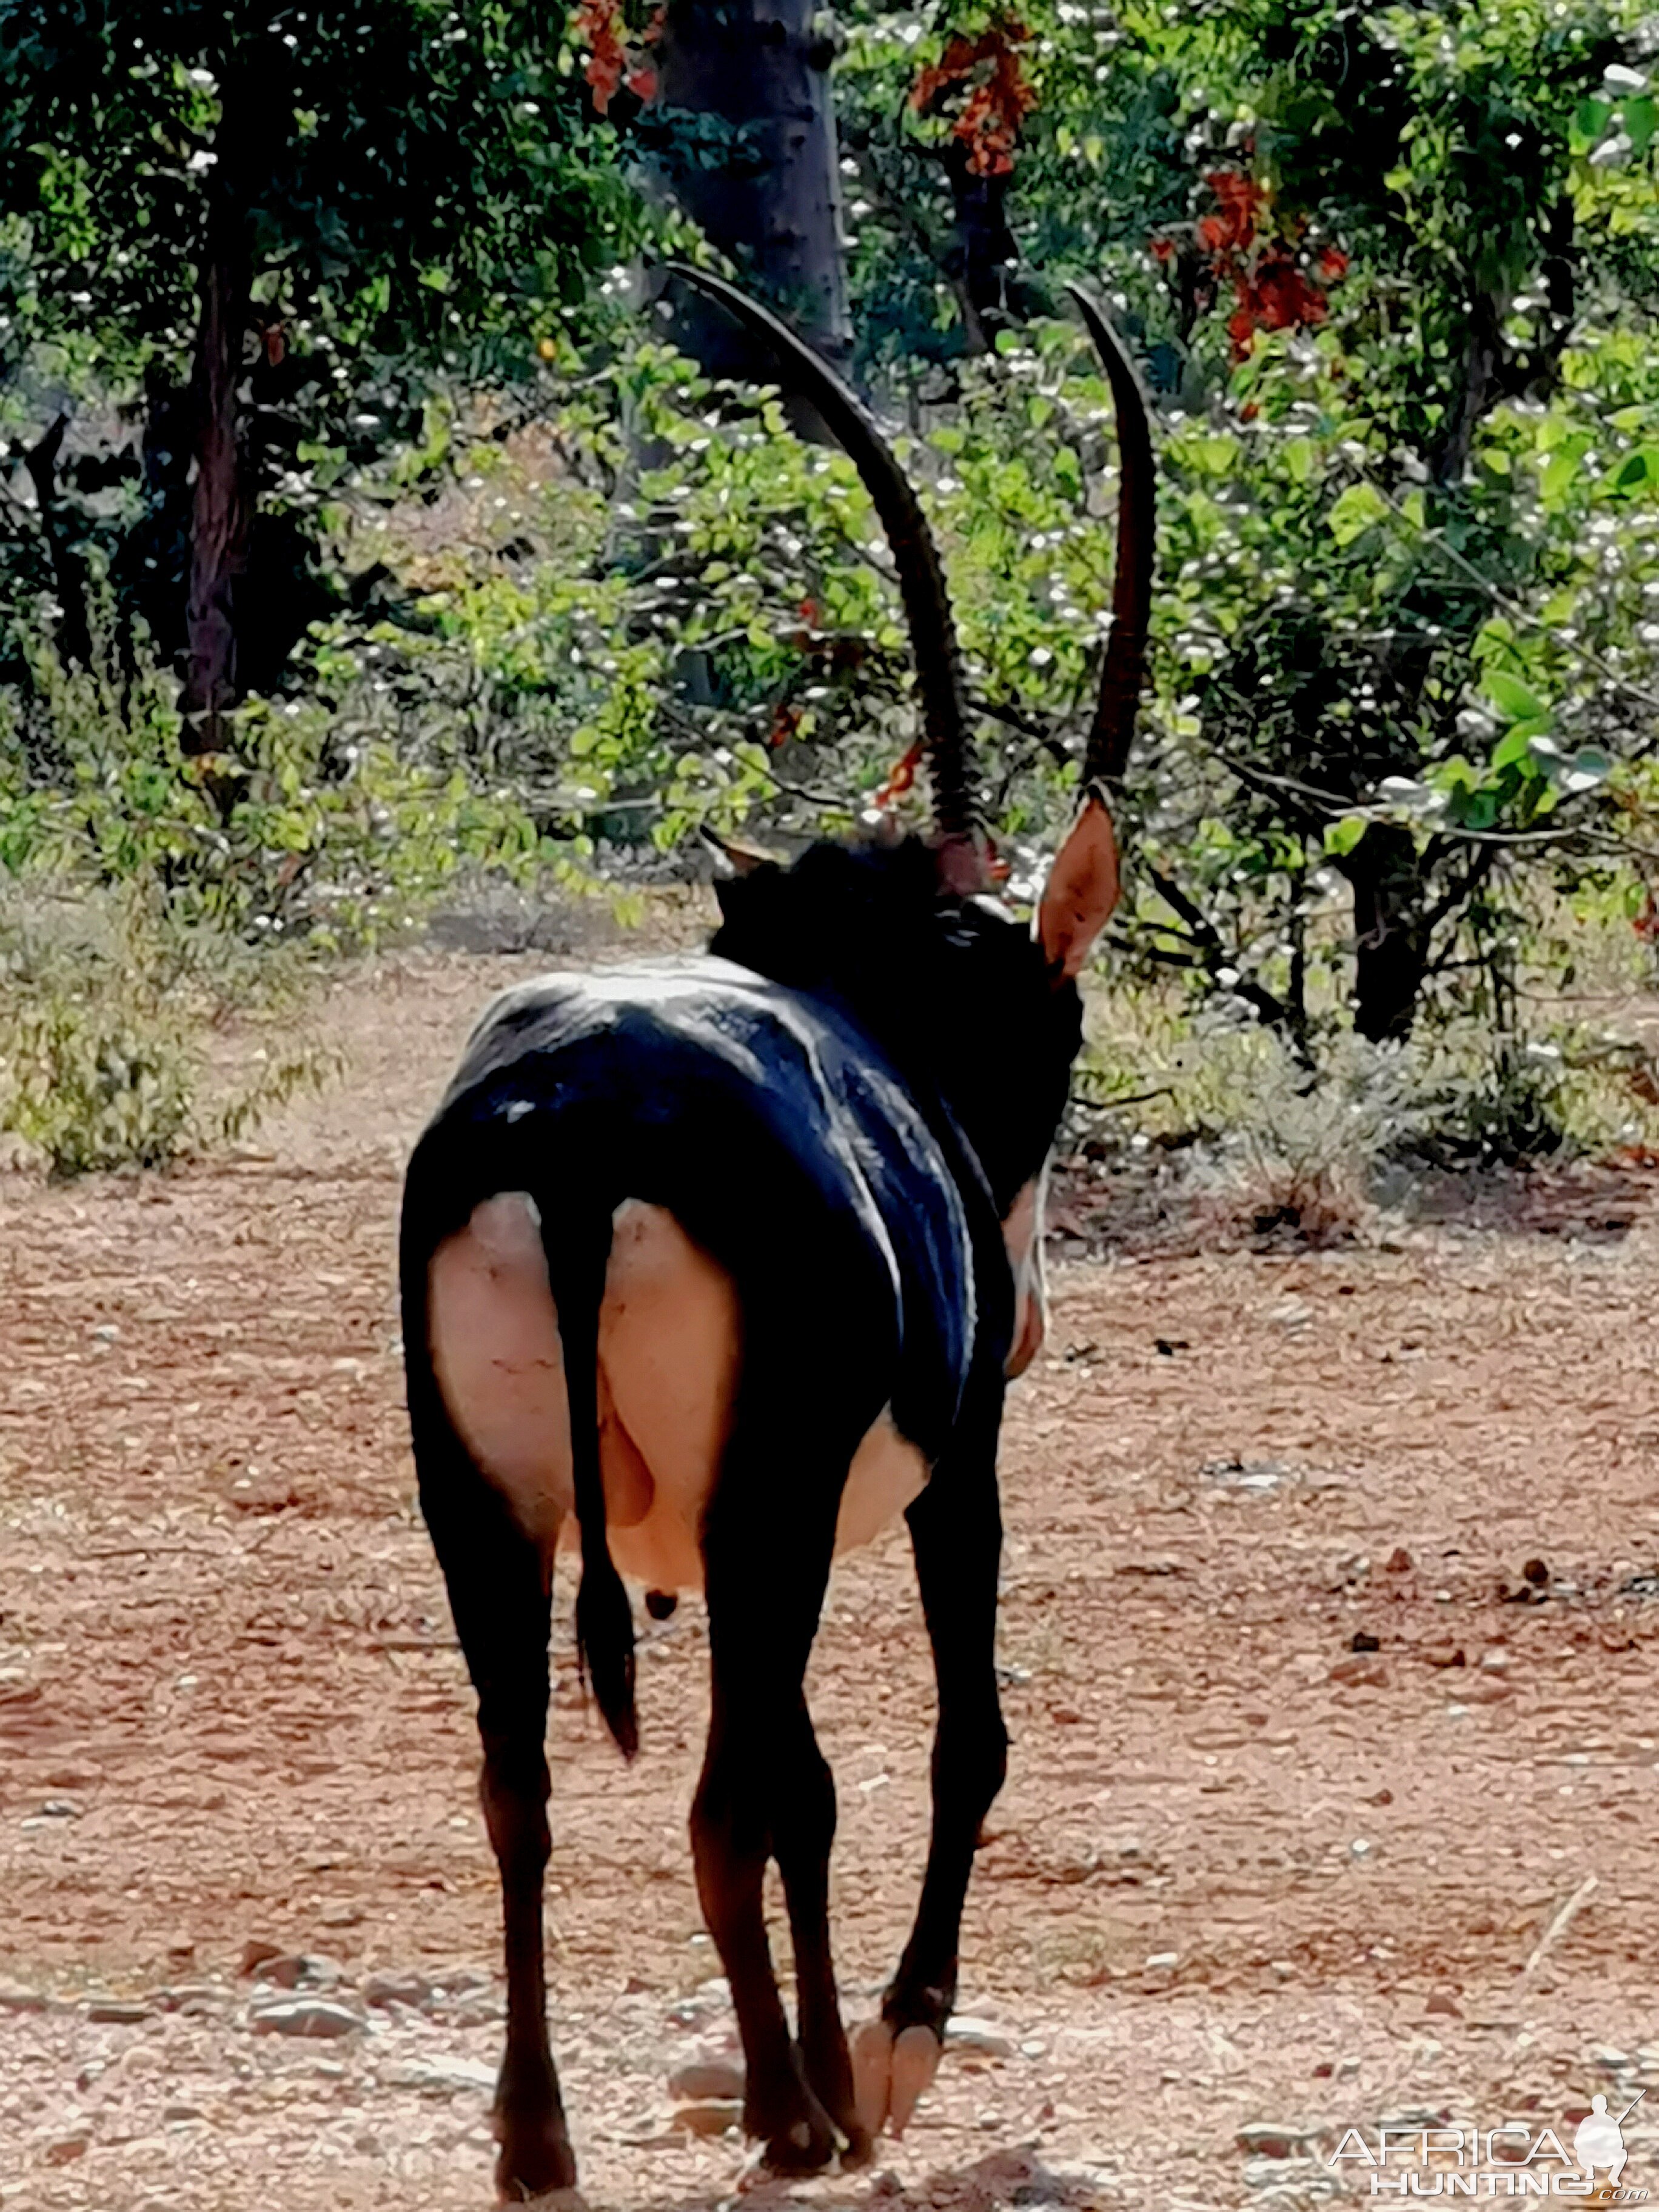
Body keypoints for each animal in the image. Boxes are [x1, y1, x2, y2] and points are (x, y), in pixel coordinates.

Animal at [400, 267, 1159, 2203]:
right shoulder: (946, 1473)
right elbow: (949, 1739)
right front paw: (882, 2054)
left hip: (485, 1504)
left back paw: (539, 2139)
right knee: (728, 1789)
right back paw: (791, 2115)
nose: (1022, 1315)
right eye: (1050, 1036)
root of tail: (574, 1122)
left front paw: (826, 2064)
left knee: (522, 1784)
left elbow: (803, 1779)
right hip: (766, 1515)